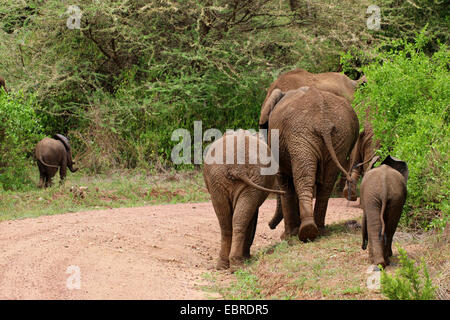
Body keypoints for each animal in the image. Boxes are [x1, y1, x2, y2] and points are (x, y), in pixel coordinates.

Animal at [204, 129, 284, 272]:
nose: (271, 226)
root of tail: (237, 168)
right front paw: (247, 258)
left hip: (226, 180)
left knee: (228, 221)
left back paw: (229, 265)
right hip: (222, 179)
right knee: (233, 220)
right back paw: (234, 264)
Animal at [264, 87, 358, 240]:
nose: (270, 225)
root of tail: (323, 122)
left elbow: (285, 182)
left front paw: (287, 236)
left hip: (300, 134)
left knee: (303, 179)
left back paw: (306, 231)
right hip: (339, 136)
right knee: (326, 183)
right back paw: (317, 230)